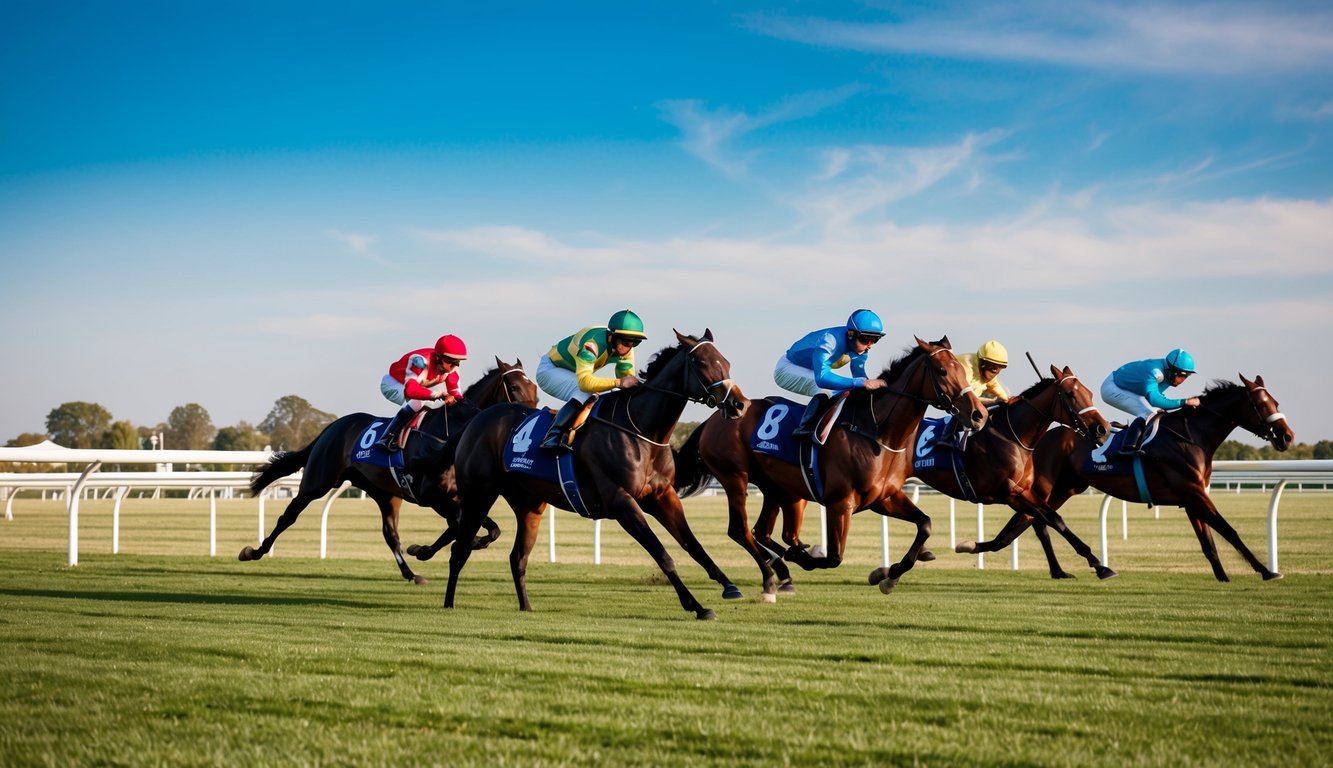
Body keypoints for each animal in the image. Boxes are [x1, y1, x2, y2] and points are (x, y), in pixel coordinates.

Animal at [239, 357, 535, 584]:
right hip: (318, 481)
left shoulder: (458, 497)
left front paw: (424, 550)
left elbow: (485, 529)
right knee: (288, 517)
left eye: (534, 389)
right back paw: (254, 551)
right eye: (514, 387)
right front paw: (442, 547)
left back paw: (410, 573)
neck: (448, 437)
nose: (526, 421)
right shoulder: (432, 496)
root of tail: (332, 427)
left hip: (385, 494)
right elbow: (465, 528)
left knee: (390, 535)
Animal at [439, 330, 746, 618]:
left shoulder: (662, 496)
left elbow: (693, 544)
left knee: (517, 558)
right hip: (479, 495)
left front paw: (729, 586)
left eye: (727, 362)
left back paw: (526, 606)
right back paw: (448, 604)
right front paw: (696, 605)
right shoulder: (621, 501)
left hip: (529, 505)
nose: (739, 404)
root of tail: (475, 421)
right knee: (459, 550)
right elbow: (662, 554)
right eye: (702, 362)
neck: (641, 431)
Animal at [671, 336, 986, 600]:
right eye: (943, 371)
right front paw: (810, 557)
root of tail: (715, 417)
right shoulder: (841, 503)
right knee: (741, 530)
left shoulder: (883, 498)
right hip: (735, 477)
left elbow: (926, 524)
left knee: (762, 532)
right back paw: (775, 575)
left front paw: (889, 575)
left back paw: (783, 570)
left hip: (777, 488)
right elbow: (834, 558)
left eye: (962, 370)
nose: (978, 414)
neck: (878, 433)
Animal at [927, 365, 1125, 576]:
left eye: (1089, 393)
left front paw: (1098, 564)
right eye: (1070, 394)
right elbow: (1045, 519)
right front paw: (1098, 564)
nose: (1103, 429)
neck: (1009, 436)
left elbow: (1051, 519)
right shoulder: (1008, 492)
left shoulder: (1022, 491)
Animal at [1029, 373, 1290, 581]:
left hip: (1064, 489)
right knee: (1039, 522)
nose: (1287, 436)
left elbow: (1209, 544)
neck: (1189, 436)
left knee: (1034, 521)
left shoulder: (1191, 499)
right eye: (1260, 405)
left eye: (1276, 402)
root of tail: (1040, 437)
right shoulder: (1194, 492)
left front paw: (1223, 578)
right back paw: (1069, 569)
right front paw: (1267, 571)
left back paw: (1060, 570)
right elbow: (1229, 531)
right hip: (1045, 488)